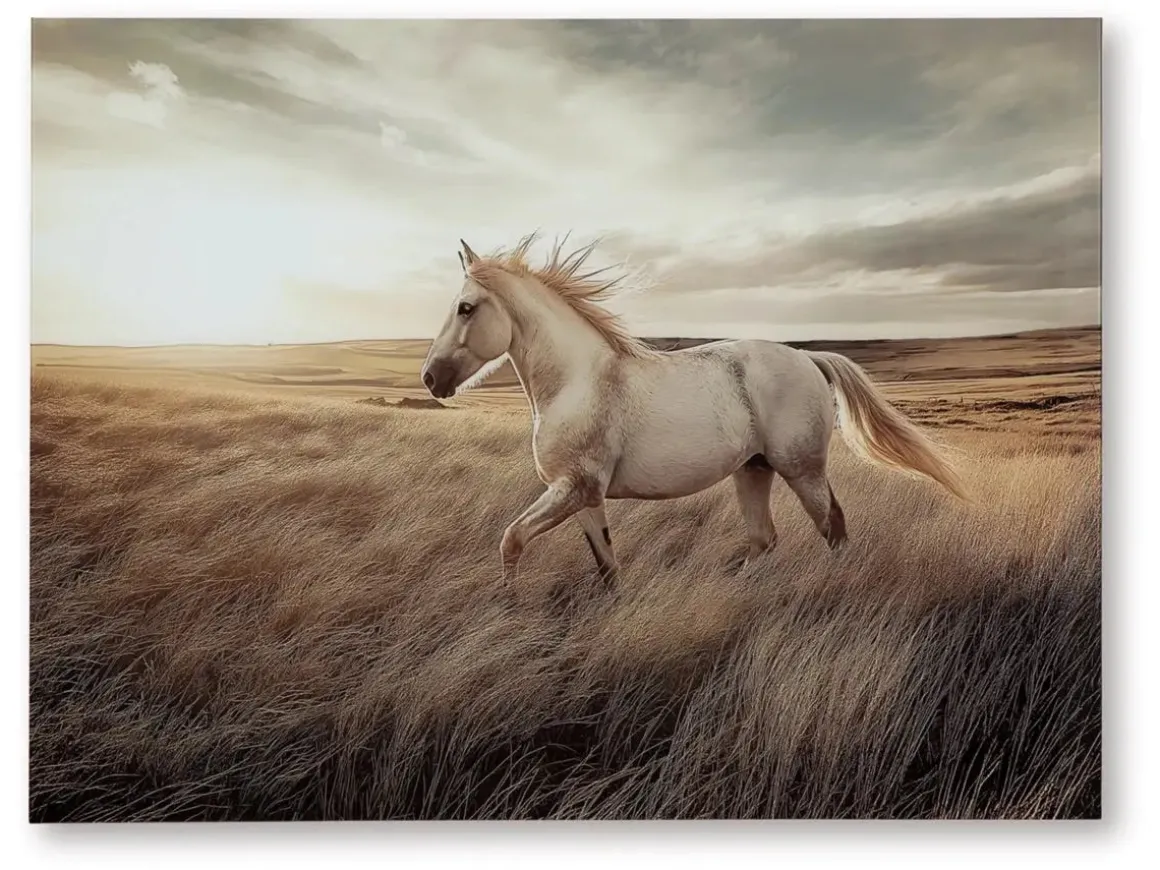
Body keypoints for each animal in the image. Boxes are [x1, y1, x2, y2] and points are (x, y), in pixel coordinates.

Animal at [420, 234, 968, 584]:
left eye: (466, 308)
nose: (430, 379)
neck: (578, 381)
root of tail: (807, 357)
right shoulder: (584, 497)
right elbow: (607, 568)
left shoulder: (572, 489)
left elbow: (511, 540)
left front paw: (508, 607)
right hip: (754, 469)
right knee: (764, 539)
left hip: (802, 469)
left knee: (832, 528)